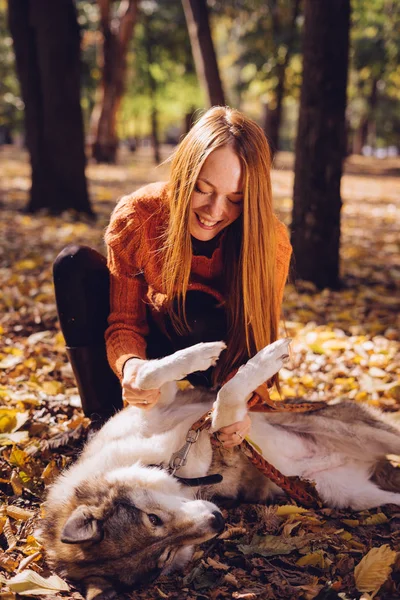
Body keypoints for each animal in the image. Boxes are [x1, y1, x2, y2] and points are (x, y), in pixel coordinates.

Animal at [39, 340, 400, 596]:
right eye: (166, 555)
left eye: (152, 519)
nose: (218, 520)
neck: (170, 463)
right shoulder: (218, 437)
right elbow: (223, 402)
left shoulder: (163, 403)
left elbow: (150, 374)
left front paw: (213, 354)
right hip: (351, 496)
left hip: (368, 435)